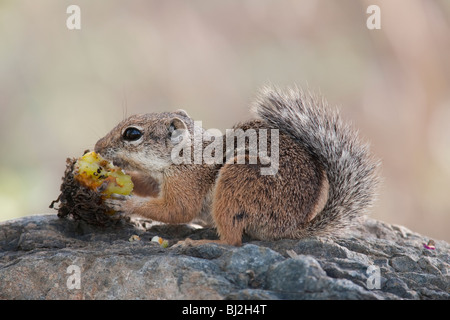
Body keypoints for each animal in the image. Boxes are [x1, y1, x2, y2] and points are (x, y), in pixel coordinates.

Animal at [95, 85, 380, 245]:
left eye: (132, 134)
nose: (97, 147)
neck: (185, 154)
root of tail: (289, 227)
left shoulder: (187, 180)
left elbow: (178, 211)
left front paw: (125, 203)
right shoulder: (159, 180)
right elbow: (147, 185)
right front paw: (112, 178)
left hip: (239, 180)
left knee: (233, 242)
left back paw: (202, 244)